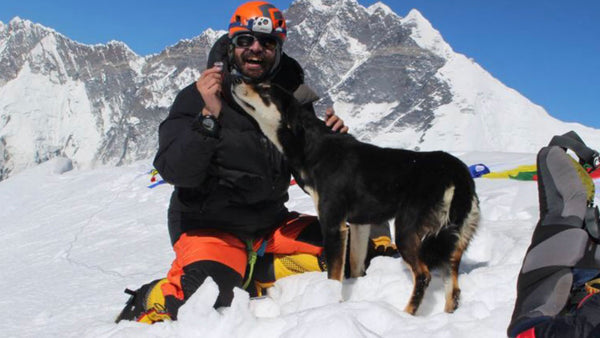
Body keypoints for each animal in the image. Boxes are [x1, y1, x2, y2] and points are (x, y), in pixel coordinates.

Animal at [232, 79, 480, 314]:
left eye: (265, 89)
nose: (234, 78)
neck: (312, 146)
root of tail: (457, 173)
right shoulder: (360, 225)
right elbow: (356, 266)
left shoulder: (333, 225)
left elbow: (334, 276)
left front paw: (332, 303)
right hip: (453, 240)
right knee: (453, 286)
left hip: (406, 231)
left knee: (423, 275)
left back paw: (407, 313)